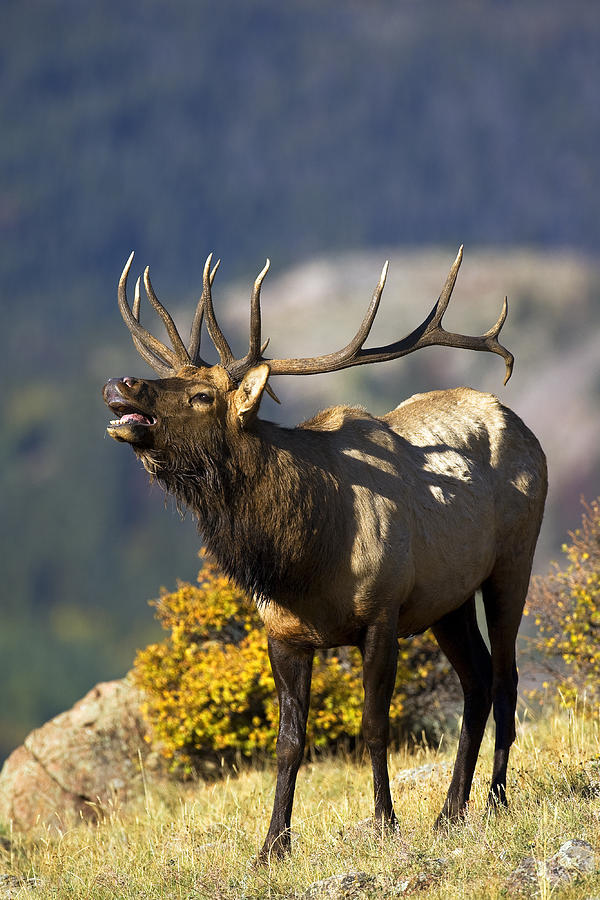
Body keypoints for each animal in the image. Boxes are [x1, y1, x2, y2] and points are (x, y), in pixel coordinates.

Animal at [104, 244, 548, 856]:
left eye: (202, 395)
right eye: (169, 376)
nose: (120, 384)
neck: (304, 559)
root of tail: (523, 426)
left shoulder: (382, 613)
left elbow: (373, 728)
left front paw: (385, 823)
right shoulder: (284, 633)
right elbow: (289, 741)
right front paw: (272, 846)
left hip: (513, 561)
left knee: (505, 679)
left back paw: (494, 801)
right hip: (448, 601)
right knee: (477, 681)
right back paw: (449, 811)